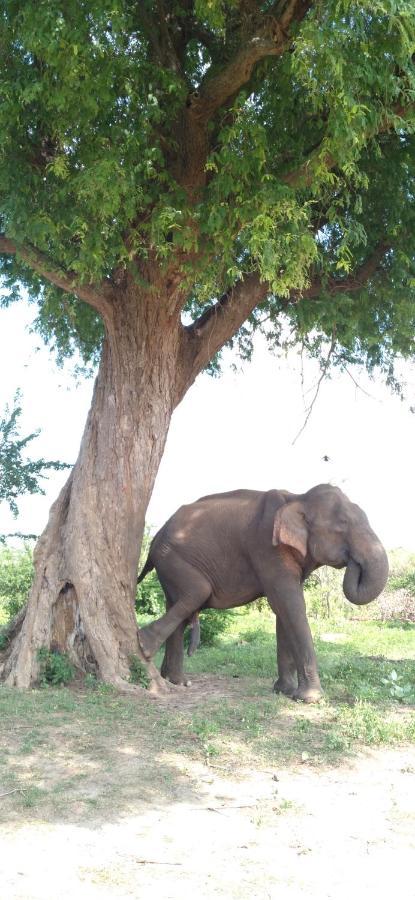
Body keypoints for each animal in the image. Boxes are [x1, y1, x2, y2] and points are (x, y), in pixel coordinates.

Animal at [137, 486, 390, 704]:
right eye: (342, 525)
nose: (354, 562)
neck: (298, 498)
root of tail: (156, 536)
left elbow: (283, 610)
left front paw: (284, 691)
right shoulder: (267, 547)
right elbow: (289, 604)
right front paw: (310, 699)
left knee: (178, 603)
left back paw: (177, 681)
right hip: (171, 557)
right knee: (197, 592)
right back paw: (145, 646)